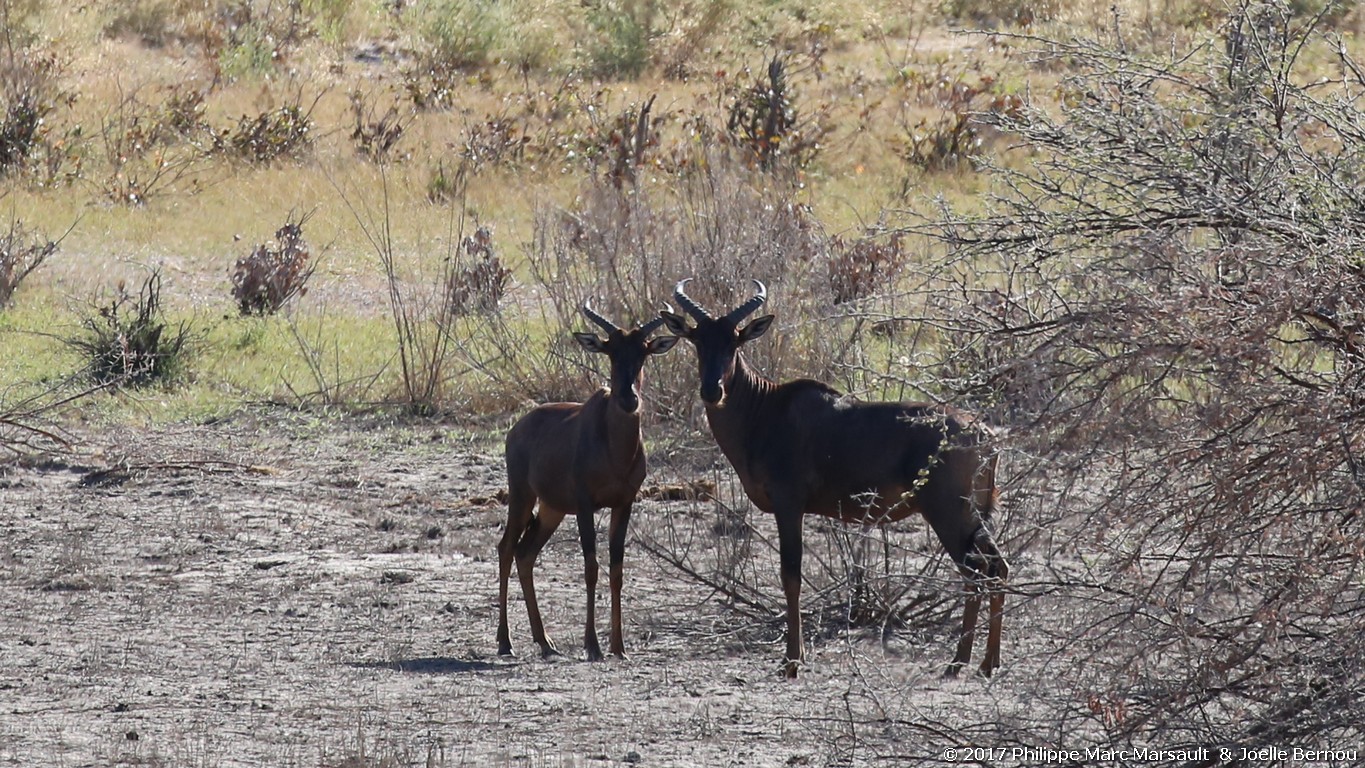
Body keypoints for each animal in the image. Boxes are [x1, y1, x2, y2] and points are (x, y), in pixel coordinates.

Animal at [496, 305, 677, 660]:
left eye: (644, 352)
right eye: (611, 351)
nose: (629, 400)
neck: (613, 446)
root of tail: (518, 427)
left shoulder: (624, 503)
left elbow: (617, 569)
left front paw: (619, 647)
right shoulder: (584, 505)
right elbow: (591, 567)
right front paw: (592, 646)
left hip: (551, 509)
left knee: (526, 553)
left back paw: (545, 642)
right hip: (522, 496)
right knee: (507, 548)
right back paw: (505, 642)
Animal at [666, 281, 1010, 679]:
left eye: (734, 341)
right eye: (697, 339)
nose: (712, 391)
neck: (766, 408)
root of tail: (984, 434)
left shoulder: (789, 504)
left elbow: (791, 575)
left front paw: (791, 662)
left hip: (949, 515)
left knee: (977, 572)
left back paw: (960, 662)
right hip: (974, 517)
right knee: (997, 567)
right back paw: (985, 662)